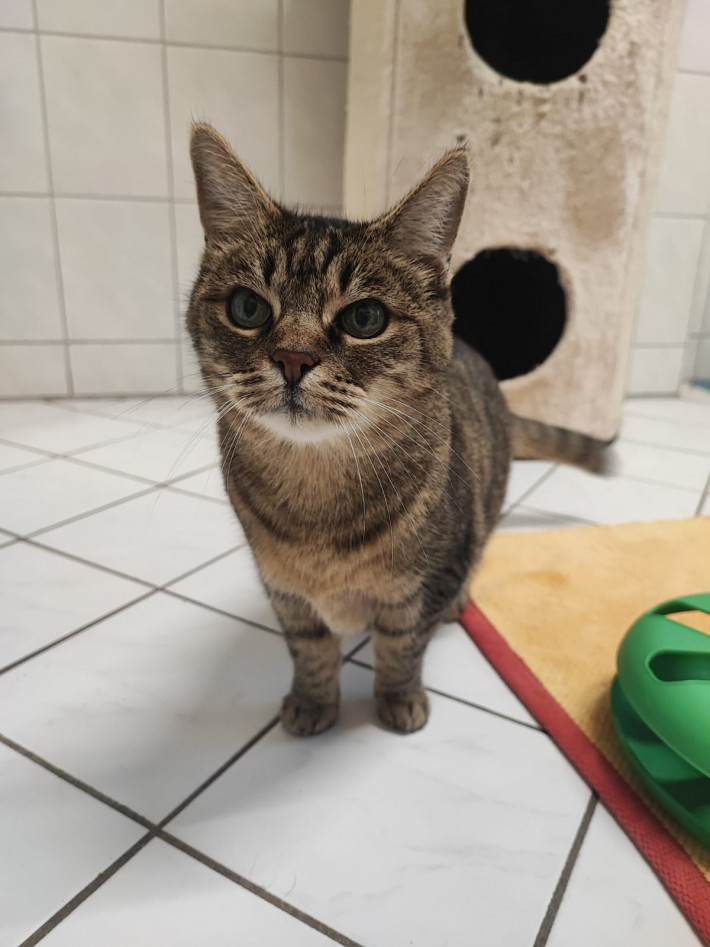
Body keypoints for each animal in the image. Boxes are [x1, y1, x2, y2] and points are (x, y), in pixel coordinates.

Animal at [187, 123, 602, 736]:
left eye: (365, 319)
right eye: (247, 308)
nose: (292, 358)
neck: (317, 497)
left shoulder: (424, 585)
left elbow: (402, 646)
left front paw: (399, 699)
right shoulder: (285, 592)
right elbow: (310, 649)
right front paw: (312, 701)